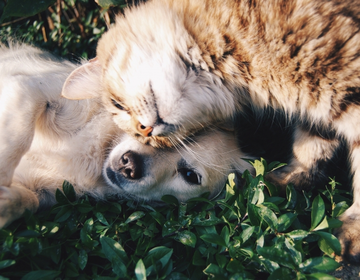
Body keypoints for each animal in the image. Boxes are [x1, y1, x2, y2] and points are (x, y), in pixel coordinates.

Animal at [63, 0, 360, 262]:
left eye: (118, 105)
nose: (145, 131)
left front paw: (353, 233)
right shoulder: (318, 110)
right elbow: (311, 146)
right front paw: (286, 181)